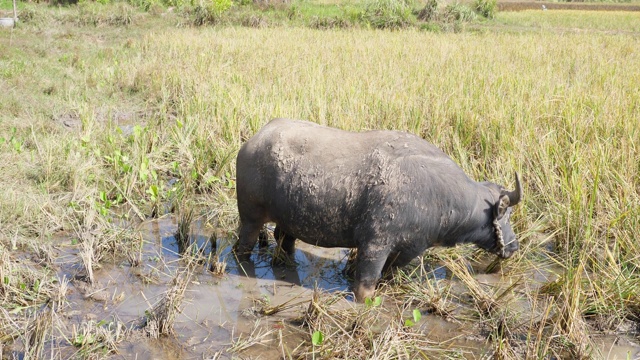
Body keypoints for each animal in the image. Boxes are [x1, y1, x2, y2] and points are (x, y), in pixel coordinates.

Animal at [234, 118, 520, 300]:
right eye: (506, 215)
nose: (514, 246)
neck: (438, 194)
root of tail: (253, 141)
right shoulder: (375, 245)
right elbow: (366, 286)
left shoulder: (408, 248)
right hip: (250, 218)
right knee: (243, 247)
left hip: (289, 222)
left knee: (284, 242)